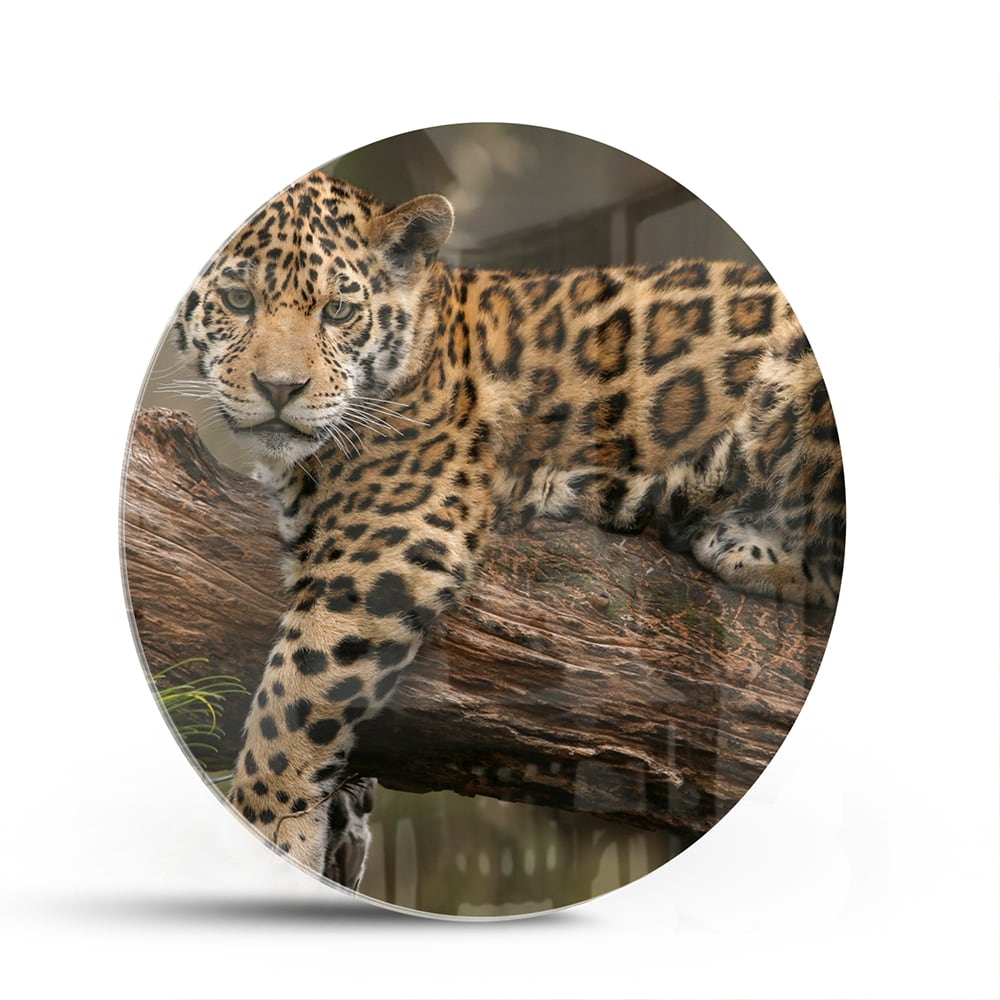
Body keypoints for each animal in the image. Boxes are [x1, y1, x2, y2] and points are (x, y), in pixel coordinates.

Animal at [167, 170, 845, 883]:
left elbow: (294, 694)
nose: (280, 389)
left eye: (339, 312)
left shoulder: (392, 538)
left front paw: (267, 823)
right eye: (238, 300)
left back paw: (735, 538)